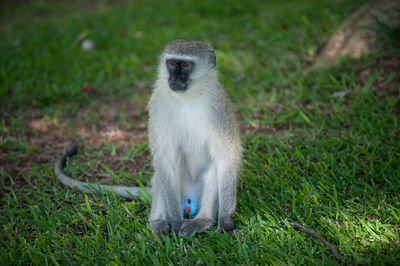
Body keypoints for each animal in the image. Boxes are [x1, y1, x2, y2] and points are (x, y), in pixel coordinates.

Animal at [54, 38, 242, 236]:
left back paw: (203, 220)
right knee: (162, 174)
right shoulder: (159, 102)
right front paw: (175, 222)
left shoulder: (217, 107)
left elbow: (226, 155)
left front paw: (225, 220)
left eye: (185, 65)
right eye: (172, 63)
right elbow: (163, 157)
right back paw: (159, 221)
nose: (174, 78)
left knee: (214, 169)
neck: (187, 97)